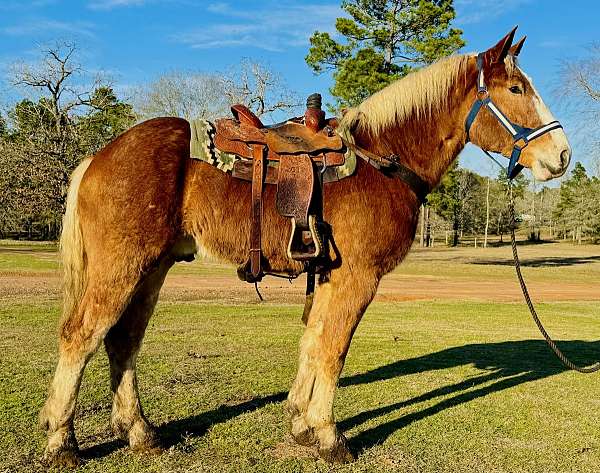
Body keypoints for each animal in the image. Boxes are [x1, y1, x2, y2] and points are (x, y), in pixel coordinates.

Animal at [38, 28, 572, 464]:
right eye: (517, 89)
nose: (563, 155)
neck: (383, 162)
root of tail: (99, 156)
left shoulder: (331, 276)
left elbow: (313, 342)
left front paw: (301, 423)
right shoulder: (357, 277)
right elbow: (333, 349)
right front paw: (329, 435)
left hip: (151, 269)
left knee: (123, 340)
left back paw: (140, 432)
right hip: (122, 267)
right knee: (81, 336)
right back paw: (62, 442)